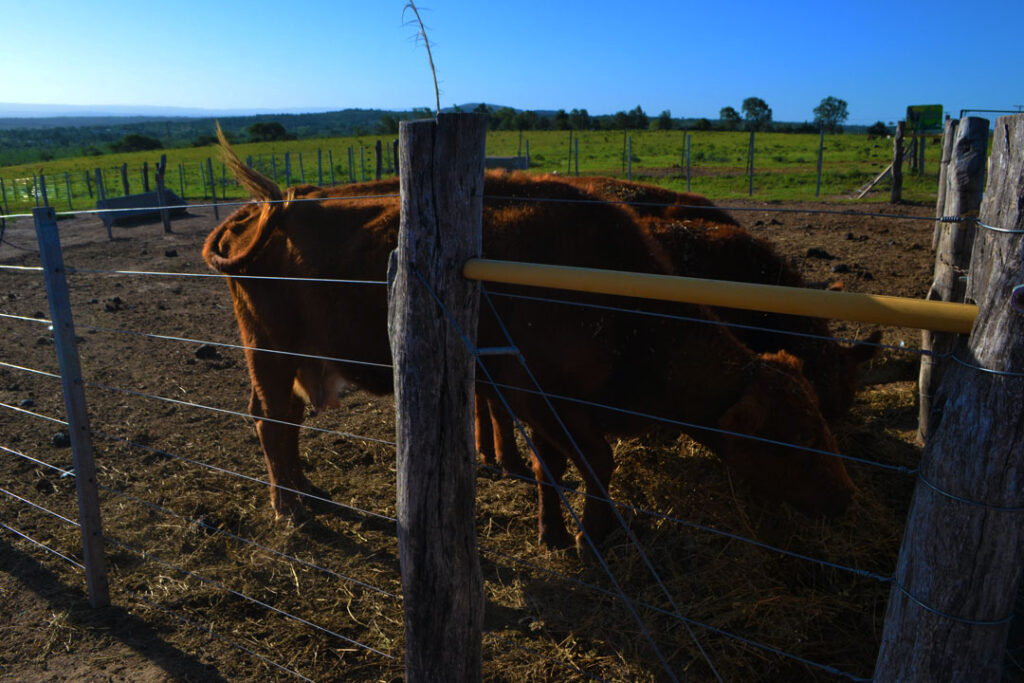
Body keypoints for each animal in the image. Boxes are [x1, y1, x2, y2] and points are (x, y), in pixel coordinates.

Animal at [203, 145, 851, 548]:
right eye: (793, 436)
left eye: (820, 422)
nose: (843, 497)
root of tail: (264, 208)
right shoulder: (542, 400)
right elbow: (595, 464)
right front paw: (593, 537)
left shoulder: (539, 407)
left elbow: (553, 467)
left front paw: (556, 532)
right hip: (271, 356)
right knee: (272, 423)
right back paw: (288, 507)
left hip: (285, 363)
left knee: (282, 422)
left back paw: (305, 489)